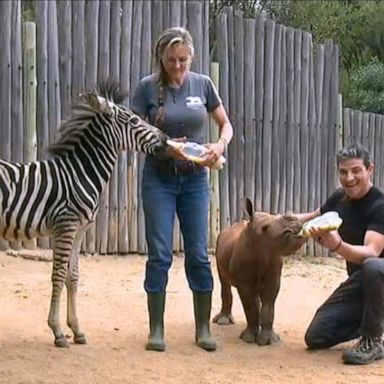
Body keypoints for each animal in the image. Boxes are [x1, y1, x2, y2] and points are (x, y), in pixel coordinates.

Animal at [0, 82, 170, 348]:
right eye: (134, 120)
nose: (166, 139)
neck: (80, 173)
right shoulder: (66, 225)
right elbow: (58, 275)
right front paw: (58, 331)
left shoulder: (80, 230)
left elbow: (73, 276)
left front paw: (77, 329)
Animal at [213, 200, 306, 346]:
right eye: (265, 227)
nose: (294, 219)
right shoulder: (244, 283)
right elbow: (250, 307)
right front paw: (248, 339)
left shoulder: (273, 278)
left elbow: (268, 306)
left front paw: (269, 341)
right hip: (218, 245)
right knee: (224, 281)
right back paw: (223, 322)